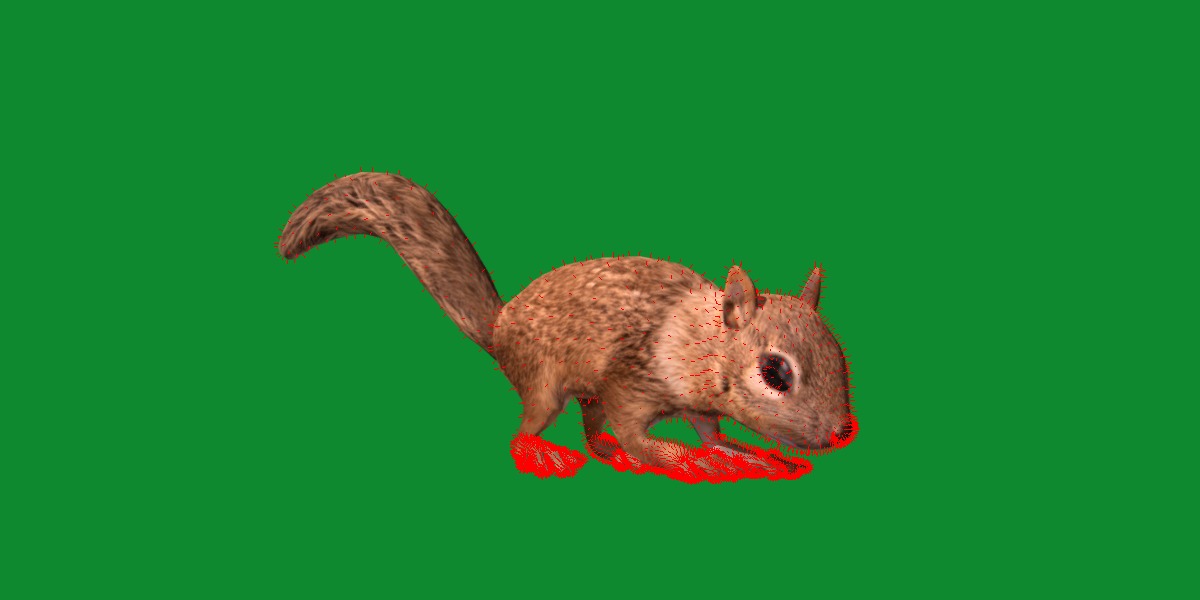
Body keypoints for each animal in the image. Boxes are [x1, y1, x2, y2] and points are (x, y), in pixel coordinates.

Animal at [277, 172, 856, 483]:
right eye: (775, 373)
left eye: (840, 354)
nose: (841, 433)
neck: (697, 338)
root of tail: (499, 330)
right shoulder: (631, 379)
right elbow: (640, 434)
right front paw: (687, 460)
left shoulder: (696, 402)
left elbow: (711, 430)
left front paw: (748, 455)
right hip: (545, 381)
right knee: (526, 431)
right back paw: (546, 452)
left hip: (585, 392)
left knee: (594, 434)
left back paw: (607, 454)